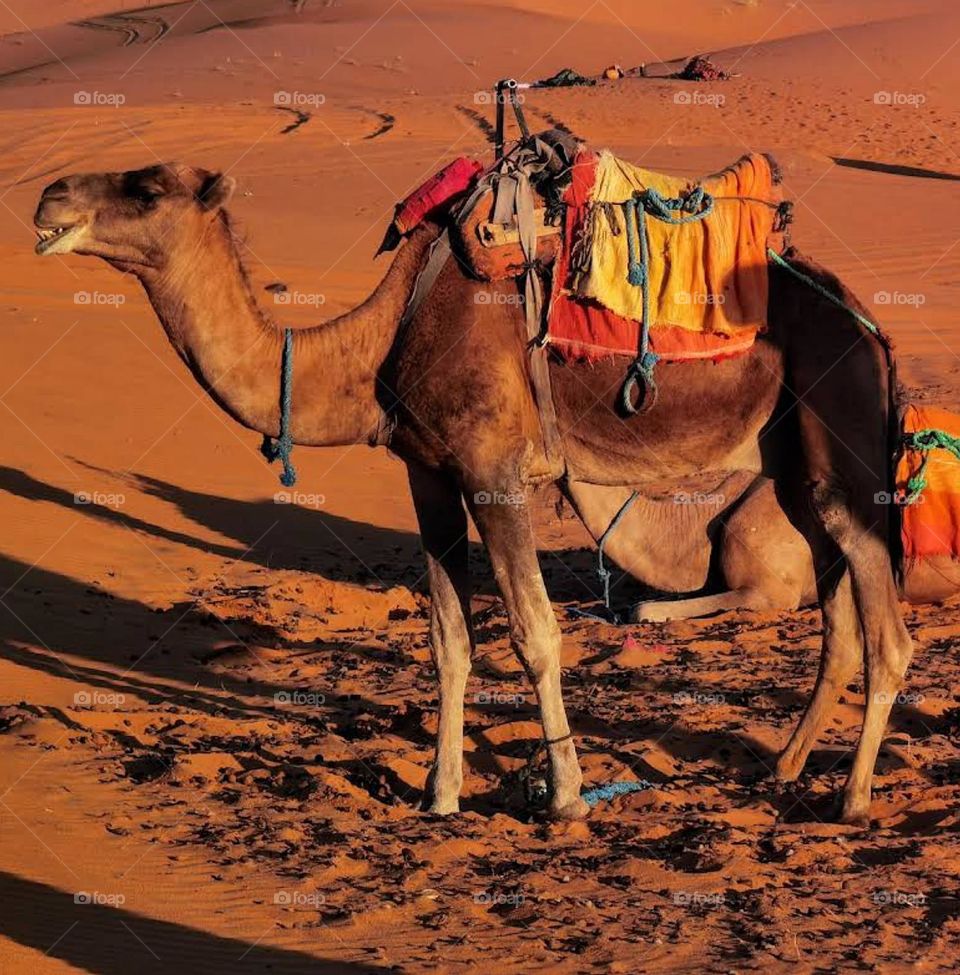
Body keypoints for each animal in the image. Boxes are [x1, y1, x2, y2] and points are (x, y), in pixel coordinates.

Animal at [34, 160, 914, 826]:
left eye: (148, 188)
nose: (50, 196)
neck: (376, 347)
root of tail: (869, 324)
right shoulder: (428, 474)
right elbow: (448, 639)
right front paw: (440, 793)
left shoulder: (494, 475)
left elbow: (535, 633)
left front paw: (564, 797)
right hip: (795, 470)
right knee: (839, 625)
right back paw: (784, 768)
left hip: (842, 443)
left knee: (889, 636)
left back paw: (852, 797)